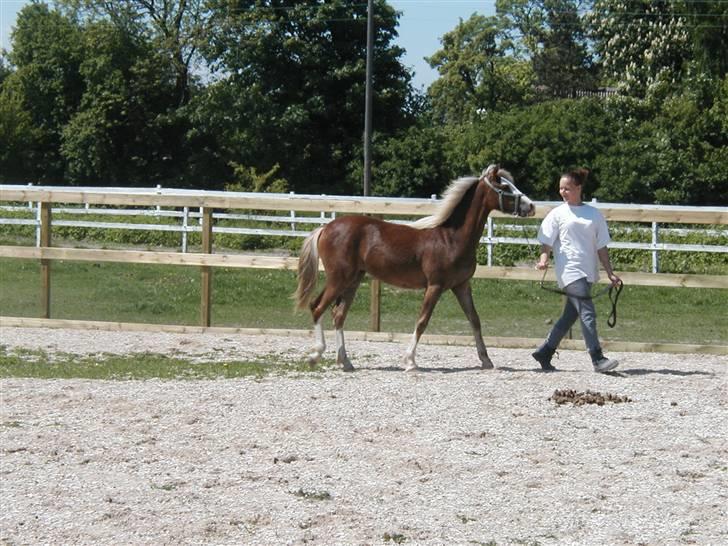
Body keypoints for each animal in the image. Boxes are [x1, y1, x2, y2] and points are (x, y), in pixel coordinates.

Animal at [294, 164, 535, 371]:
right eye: (505, 187)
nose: (531, 206)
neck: (451, 238)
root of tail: (325, 228)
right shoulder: (435, 286)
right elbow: (422, 321)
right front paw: (410, 361)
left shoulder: (462, 286)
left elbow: (474, 320)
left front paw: (486, 360)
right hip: (338, 279)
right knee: (317, 307)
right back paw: (315, 356)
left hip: (352, 281)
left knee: (338, 315)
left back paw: (345, 362)